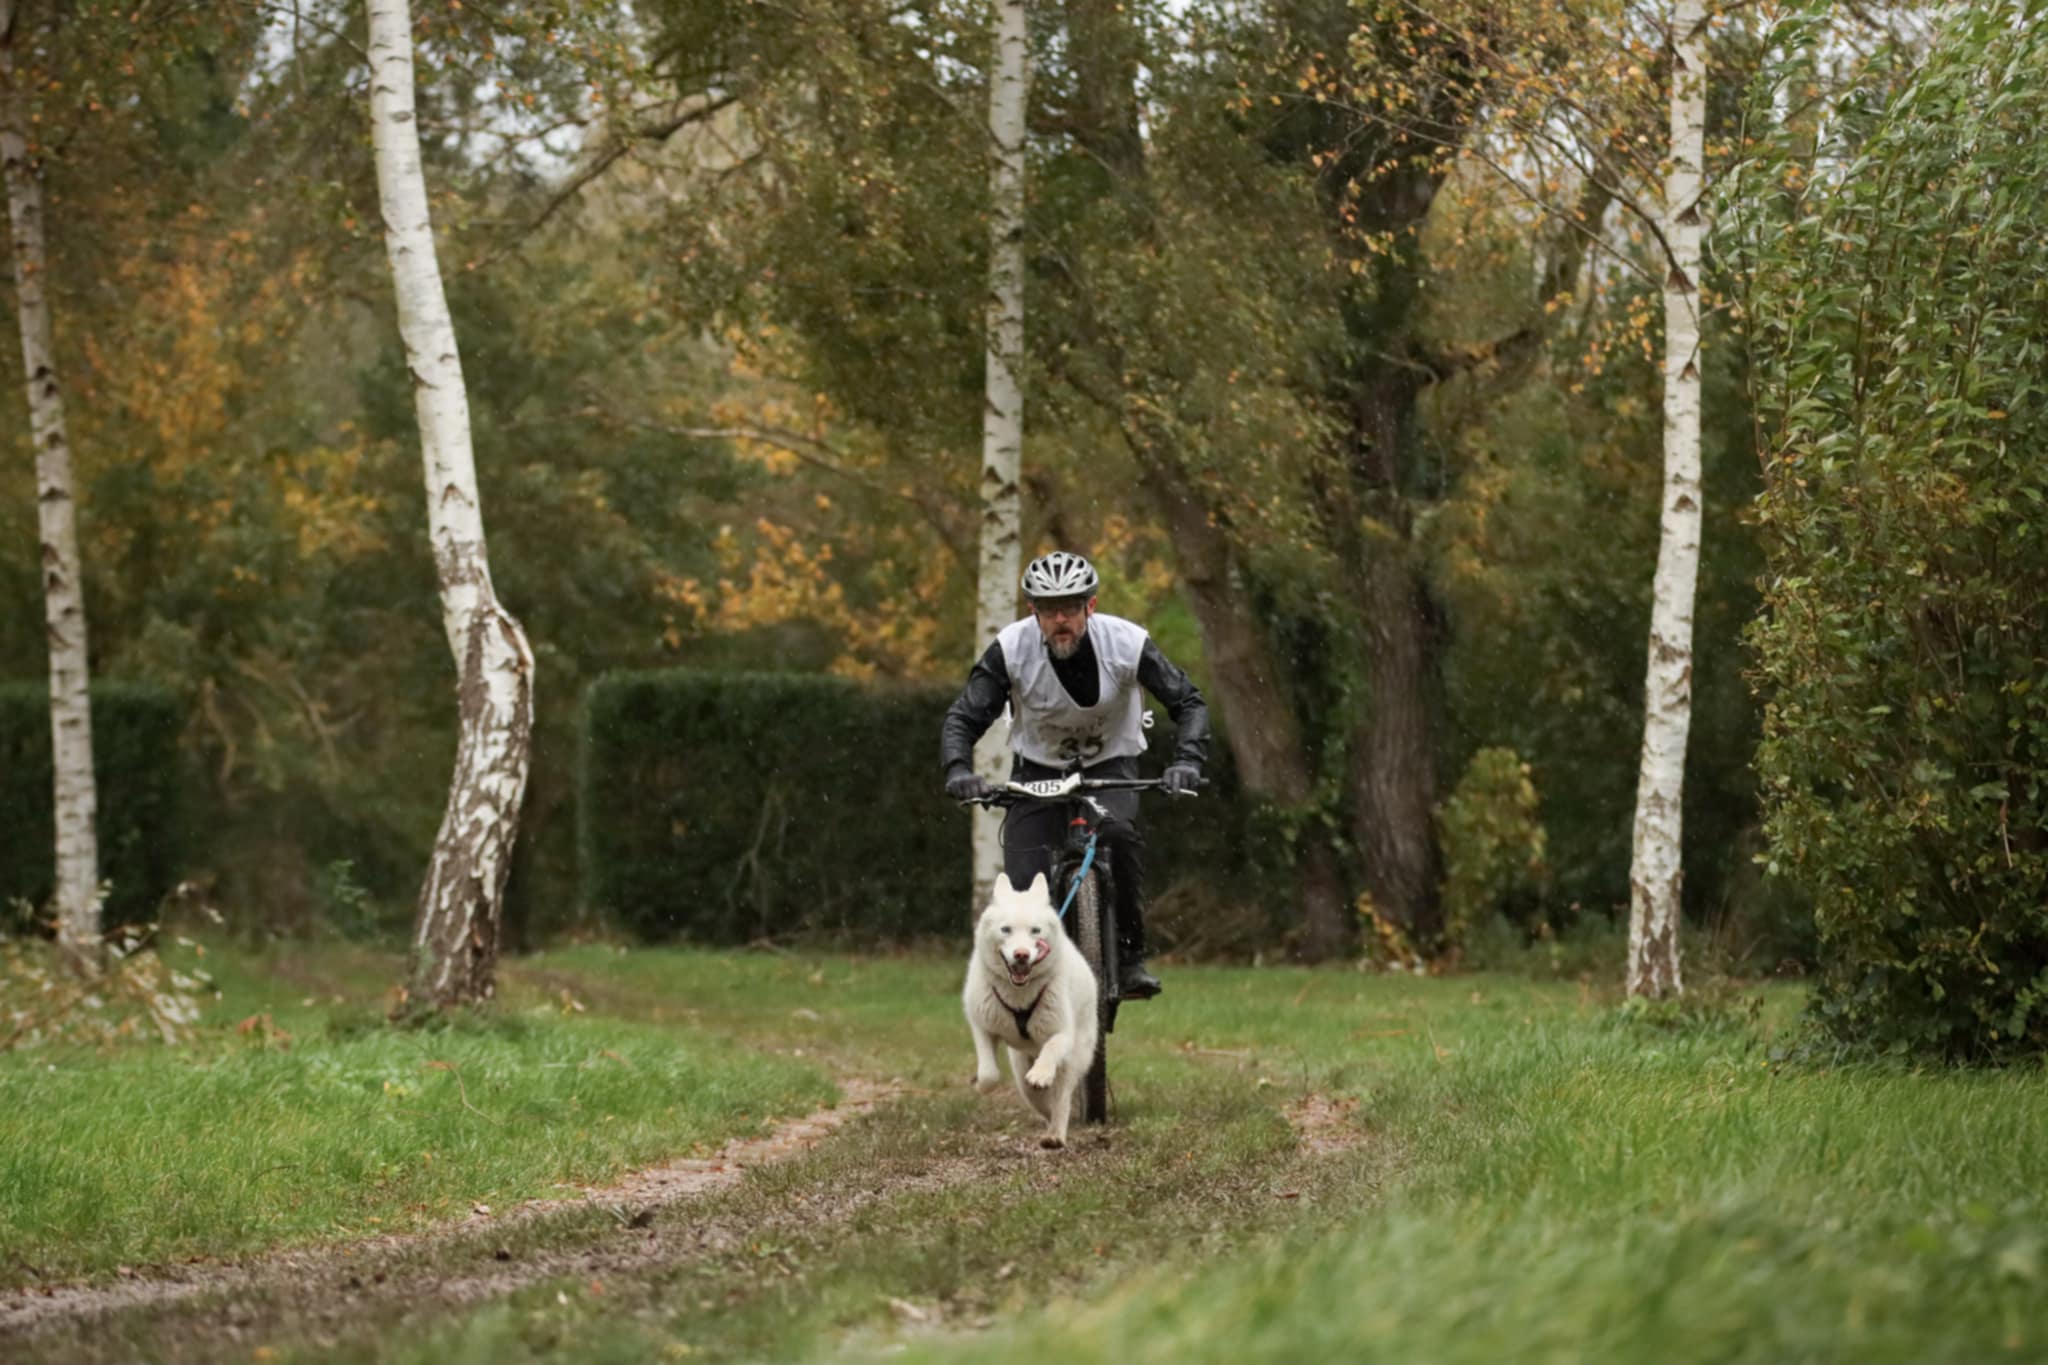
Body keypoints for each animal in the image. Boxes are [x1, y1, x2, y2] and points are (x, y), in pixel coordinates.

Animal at [962, 870, 1100, 1149]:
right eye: (1006, 929)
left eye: (1035, 930)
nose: (1022, 954)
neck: (1019, 995)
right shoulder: (982, 1026)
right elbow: (989, 1072)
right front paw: (982, 1086)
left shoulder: (1062, 1032)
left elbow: (1052, 1047)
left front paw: (1041, 1074)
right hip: (1020, 1065)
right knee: (1038, 1100)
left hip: (1075, 1058)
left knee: (1061, 1097)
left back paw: (1055, 1134)